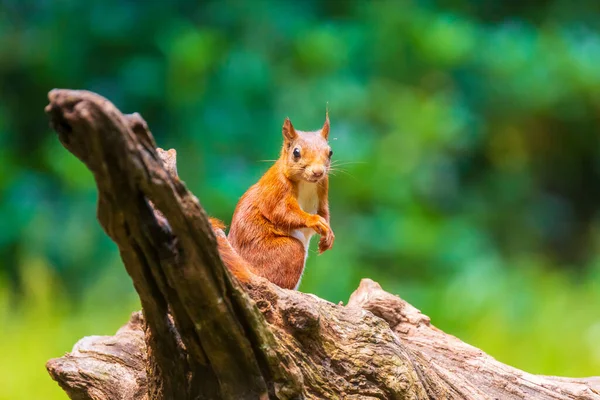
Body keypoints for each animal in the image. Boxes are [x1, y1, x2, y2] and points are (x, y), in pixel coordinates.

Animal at [223, 114, 336, 290]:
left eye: (330, 152)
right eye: (296, 152)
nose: (318, 172)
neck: (306, 183)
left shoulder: (323, 189)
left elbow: (324, 212)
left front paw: (328, 234)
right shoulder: (276, 189)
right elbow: (282, 212)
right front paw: (314, 220)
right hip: (287, 251)